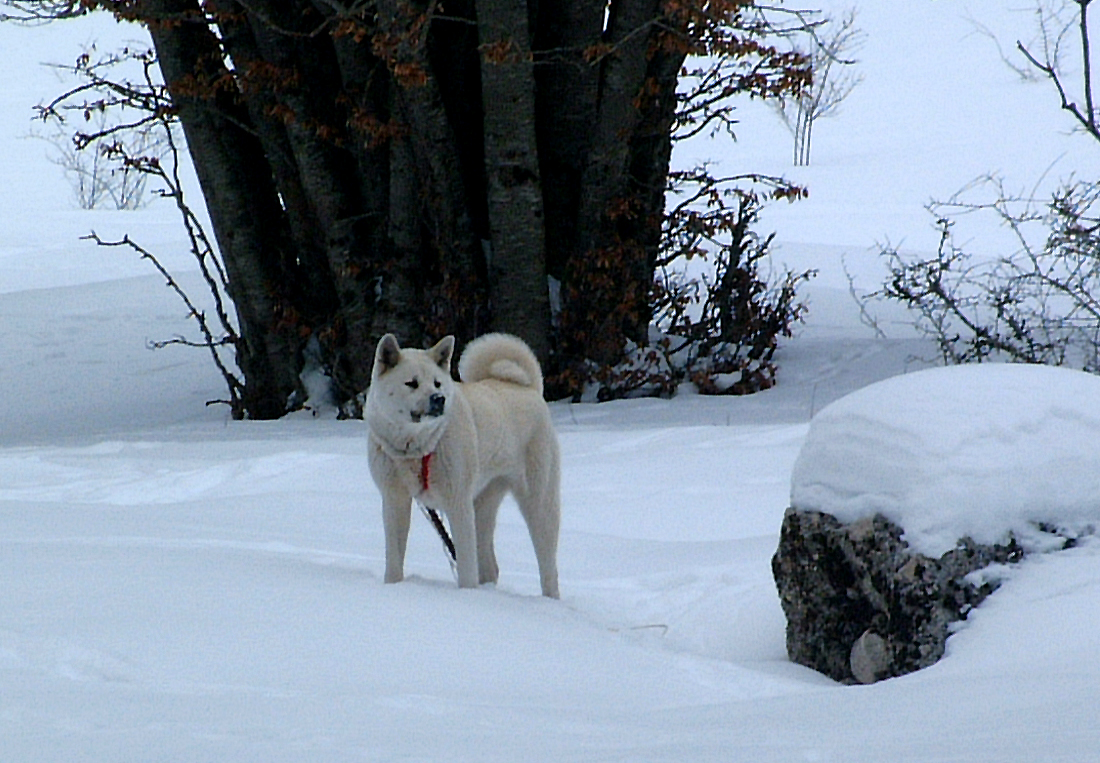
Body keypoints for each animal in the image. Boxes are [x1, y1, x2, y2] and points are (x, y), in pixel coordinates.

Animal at [367, 334, 563, 598]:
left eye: (437, 383)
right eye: (411, 383)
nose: (438, 399)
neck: (417, 448)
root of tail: (529, 388)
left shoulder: (457, 502)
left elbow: (467, 565)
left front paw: (466, 596)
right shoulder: (394, 499)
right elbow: (394, 558)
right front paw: (393, 586)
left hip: (538, 504)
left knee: (548, 567)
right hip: (482, 504)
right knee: (490, 565)